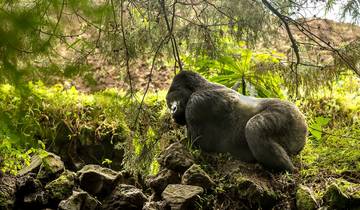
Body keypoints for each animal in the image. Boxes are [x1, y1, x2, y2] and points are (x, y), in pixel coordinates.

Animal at [166, 70, 306, 172]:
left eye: (174, 95)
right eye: (168, 103)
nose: (172, 109)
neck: (199, 87)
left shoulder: (196, 104)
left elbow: (196, 145)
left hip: (290, 115)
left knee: (253, 128)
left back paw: (287, 168)